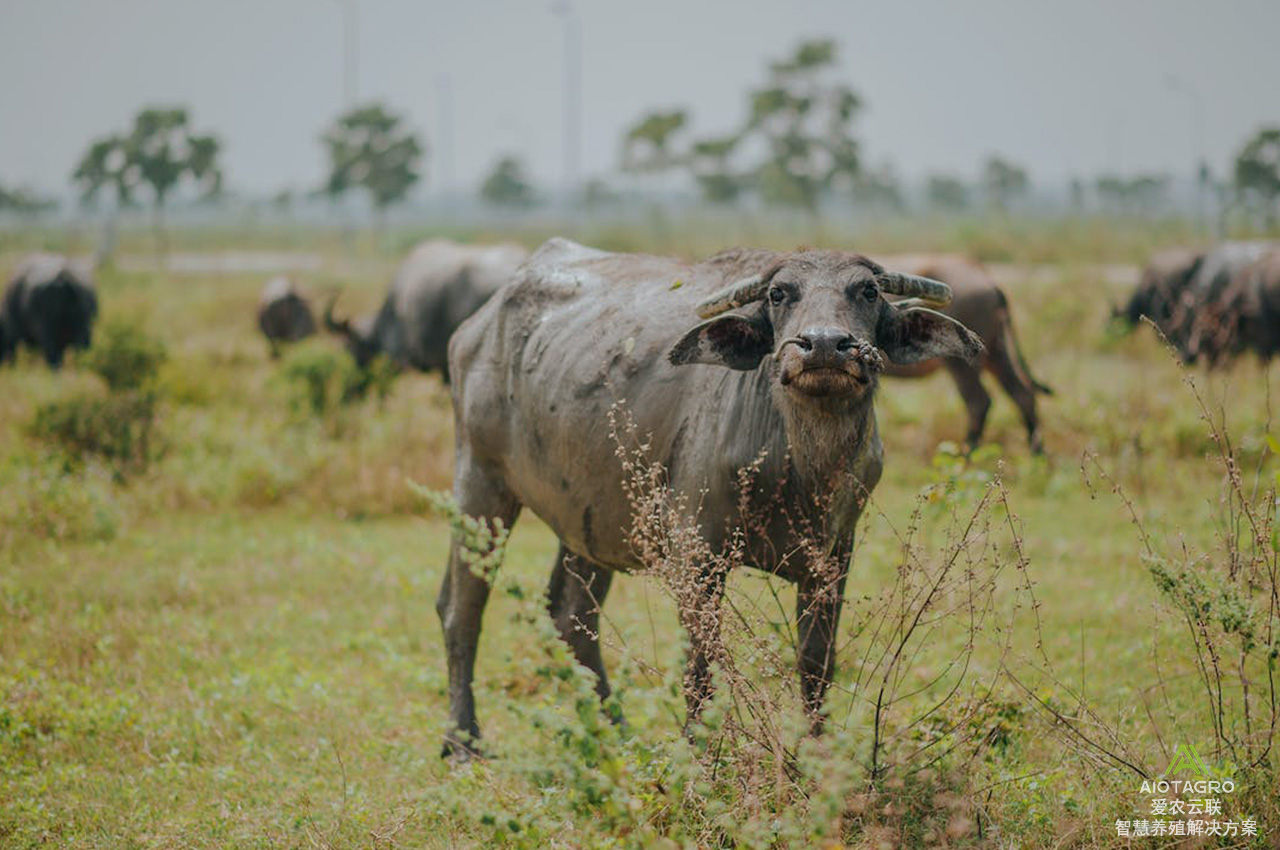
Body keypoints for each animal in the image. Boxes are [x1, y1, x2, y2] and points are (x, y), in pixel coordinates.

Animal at [435, 239, 983, 757]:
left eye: (867, 291)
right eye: (779, 294)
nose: (825, 345)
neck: (798, 467)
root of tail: (474, 329)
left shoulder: (833, 557)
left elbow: (816, 663)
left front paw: (816, 754)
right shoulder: (695, 555)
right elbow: (701, 664)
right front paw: (699, 753)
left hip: (590, 519)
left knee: (570, 616)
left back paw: (616, 731)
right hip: (480, 486)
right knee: (462, 609)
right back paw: (464, 741)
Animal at [885, 257, 1054, 455]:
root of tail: (987, 277)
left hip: (962, 362)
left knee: (979, 401)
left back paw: (967, 453)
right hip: (996, 352)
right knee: (1022, 393)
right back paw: (1037, 454)